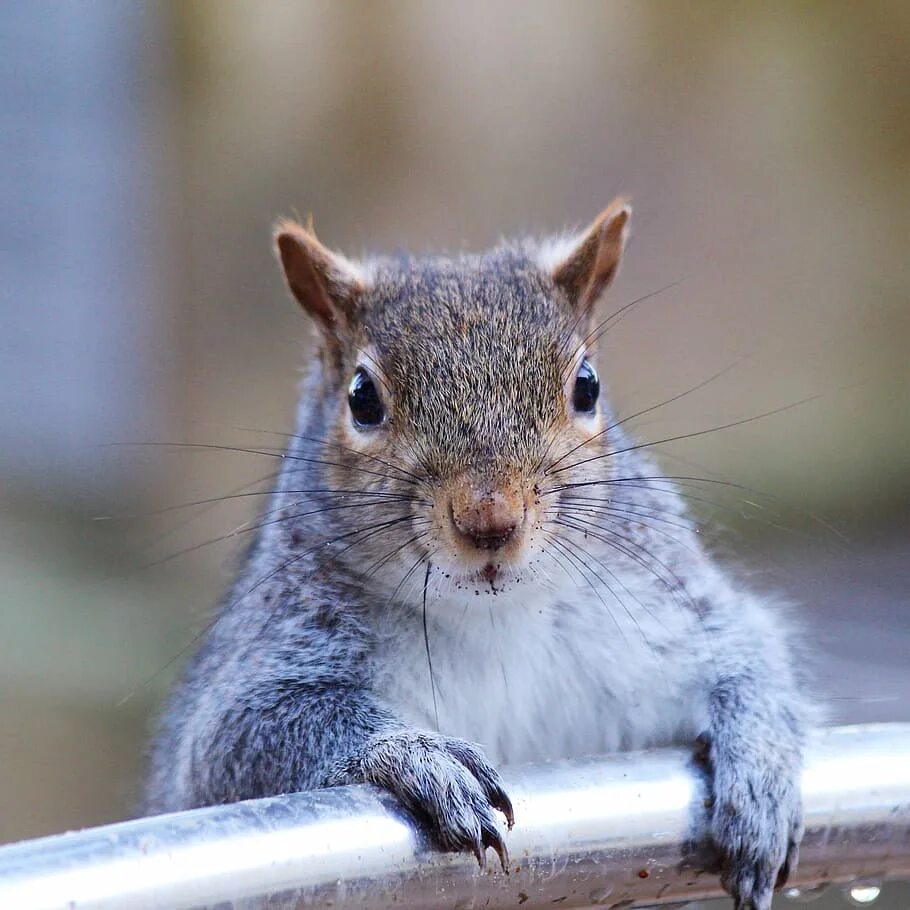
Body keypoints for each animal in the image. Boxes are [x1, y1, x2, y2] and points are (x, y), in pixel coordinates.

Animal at [148, 200, 812, 910]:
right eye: (361, 397)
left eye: (587, 387)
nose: (489, 519)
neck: (494, 616)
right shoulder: (264, 664)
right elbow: (242, 736)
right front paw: (424, 758)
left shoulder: (662, 612)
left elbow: (745, 655)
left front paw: (760, 764)